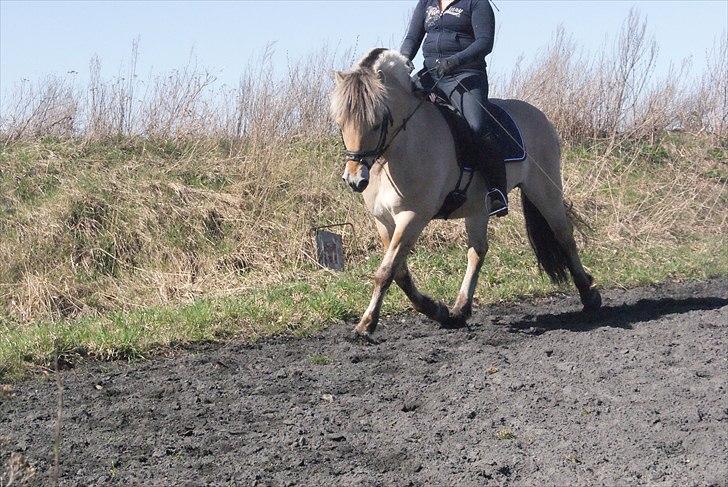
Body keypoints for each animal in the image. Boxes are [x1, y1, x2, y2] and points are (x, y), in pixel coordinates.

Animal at [332, 49, 604, 340]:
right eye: (341, 123)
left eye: (376, 122)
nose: (355, 179)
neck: (397, 152)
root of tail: (537, 114)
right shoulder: (383, 221)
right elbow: (400, 273)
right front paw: (437, 311)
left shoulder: (412, 217)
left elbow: (386, 272)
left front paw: (366, 324)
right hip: (479, 208)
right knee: (478, 251)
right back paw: (459, 310)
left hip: (545, 189)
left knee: (564, 237)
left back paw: (589, 295)